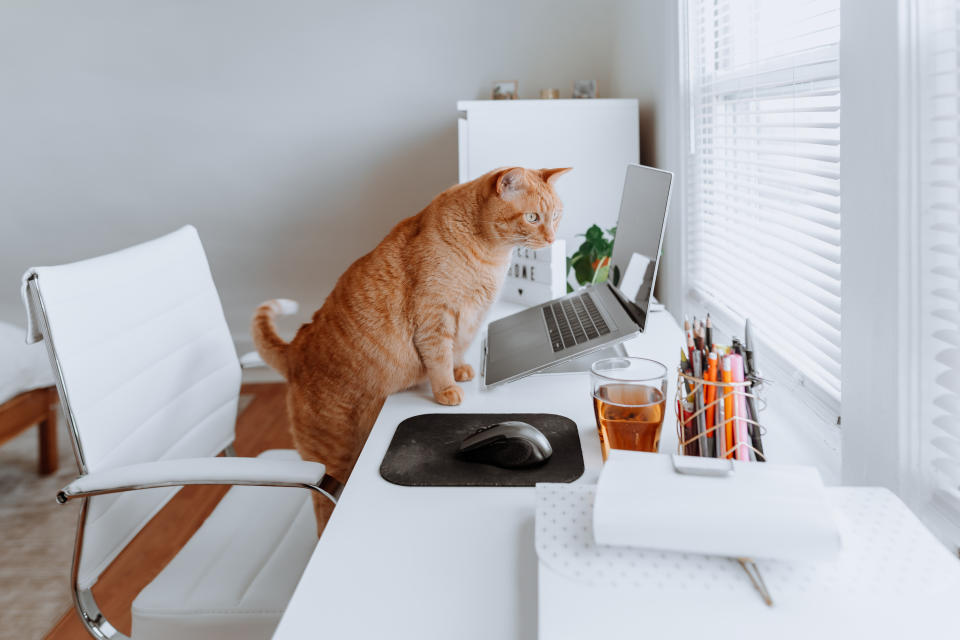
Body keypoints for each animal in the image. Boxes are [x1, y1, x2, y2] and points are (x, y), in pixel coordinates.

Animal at [253, 166, 568, 536]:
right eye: (533, 218)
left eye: (556, 216)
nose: (551, 239)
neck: (489, 255)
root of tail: (295, 348)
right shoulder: (435, 318)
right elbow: (440, 359)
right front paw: (447, 390)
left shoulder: (468, 319)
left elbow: (458, 351)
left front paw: (462, 371)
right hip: (335, 457)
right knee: (321, 509)